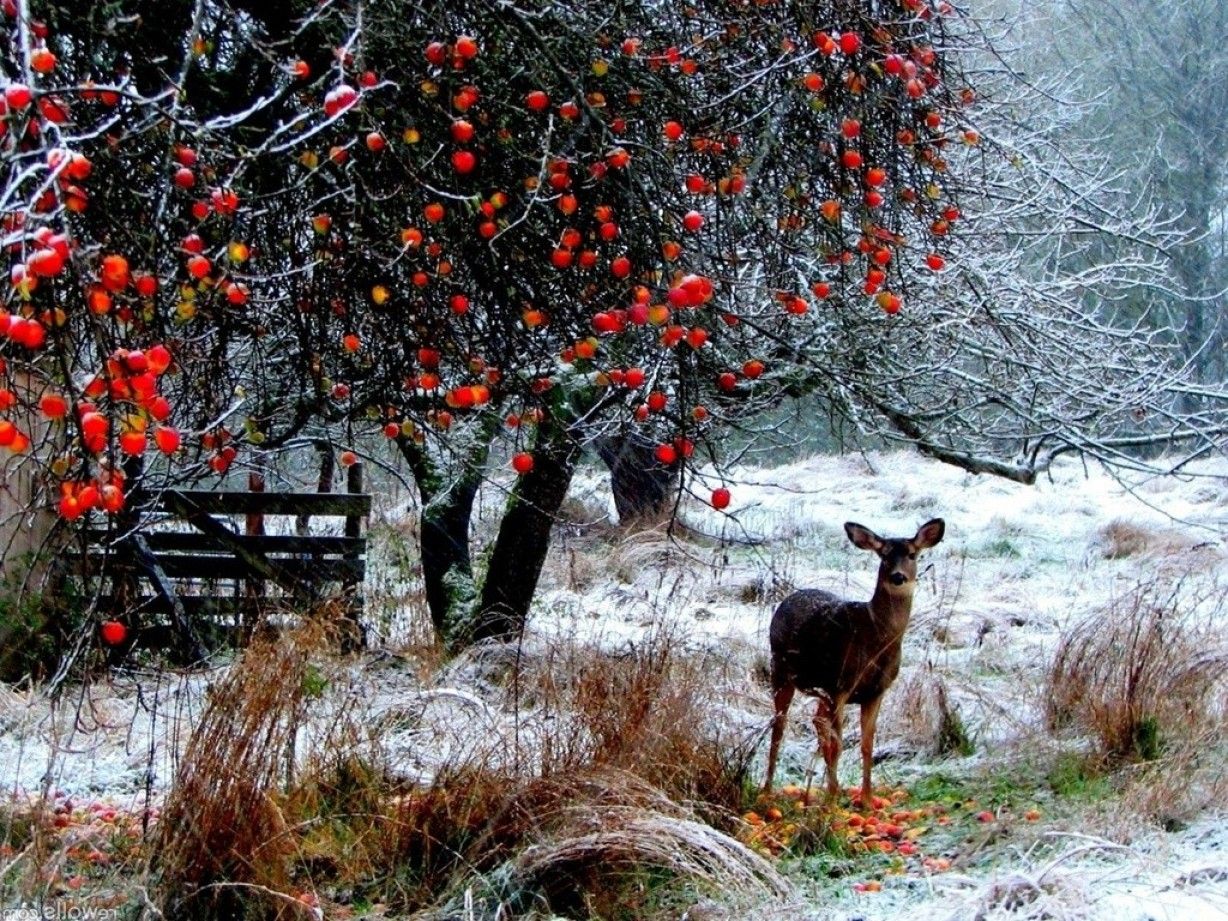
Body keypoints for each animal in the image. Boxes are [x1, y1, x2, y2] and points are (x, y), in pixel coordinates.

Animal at [763, 518, 945, 805]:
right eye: (884, 555)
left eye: (912, 554)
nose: (898, 577)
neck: (876, 640)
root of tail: (788, 599)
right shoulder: (843, 683)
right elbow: (838, 744)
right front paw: (831, 802)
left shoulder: (876, 691)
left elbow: (867, 744)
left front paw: (867, 800)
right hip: (780, 669)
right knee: (779, 726)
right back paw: (768, 790)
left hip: (821, 688)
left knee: (817, 719)